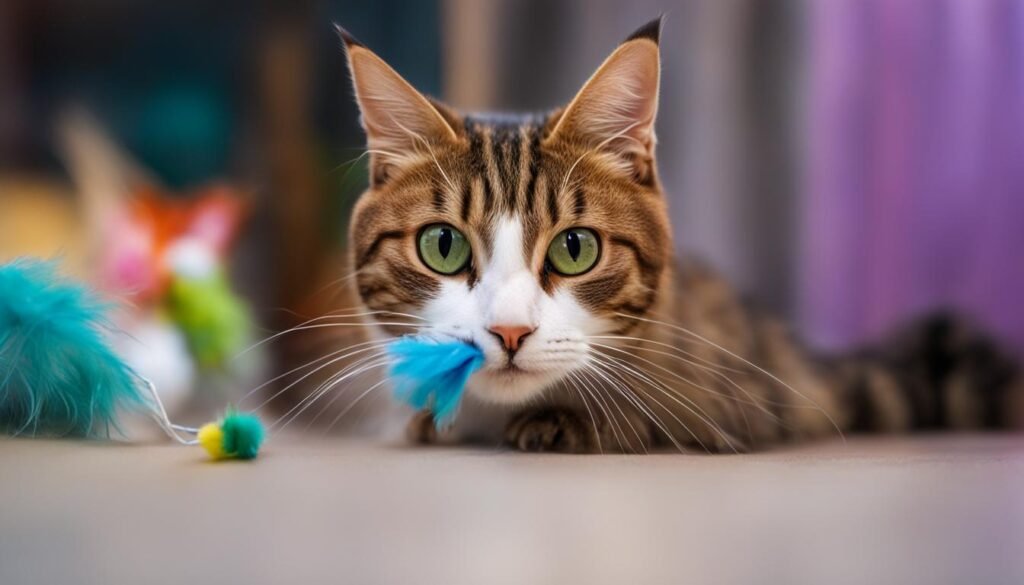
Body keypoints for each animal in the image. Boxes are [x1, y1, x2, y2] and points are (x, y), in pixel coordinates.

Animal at [284, 19, 1019, 452]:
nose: (510, 332)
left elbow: (662, 417)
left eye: (574, 249)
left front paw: (570, 423)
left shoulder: (738, 398)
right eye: (444, 246)